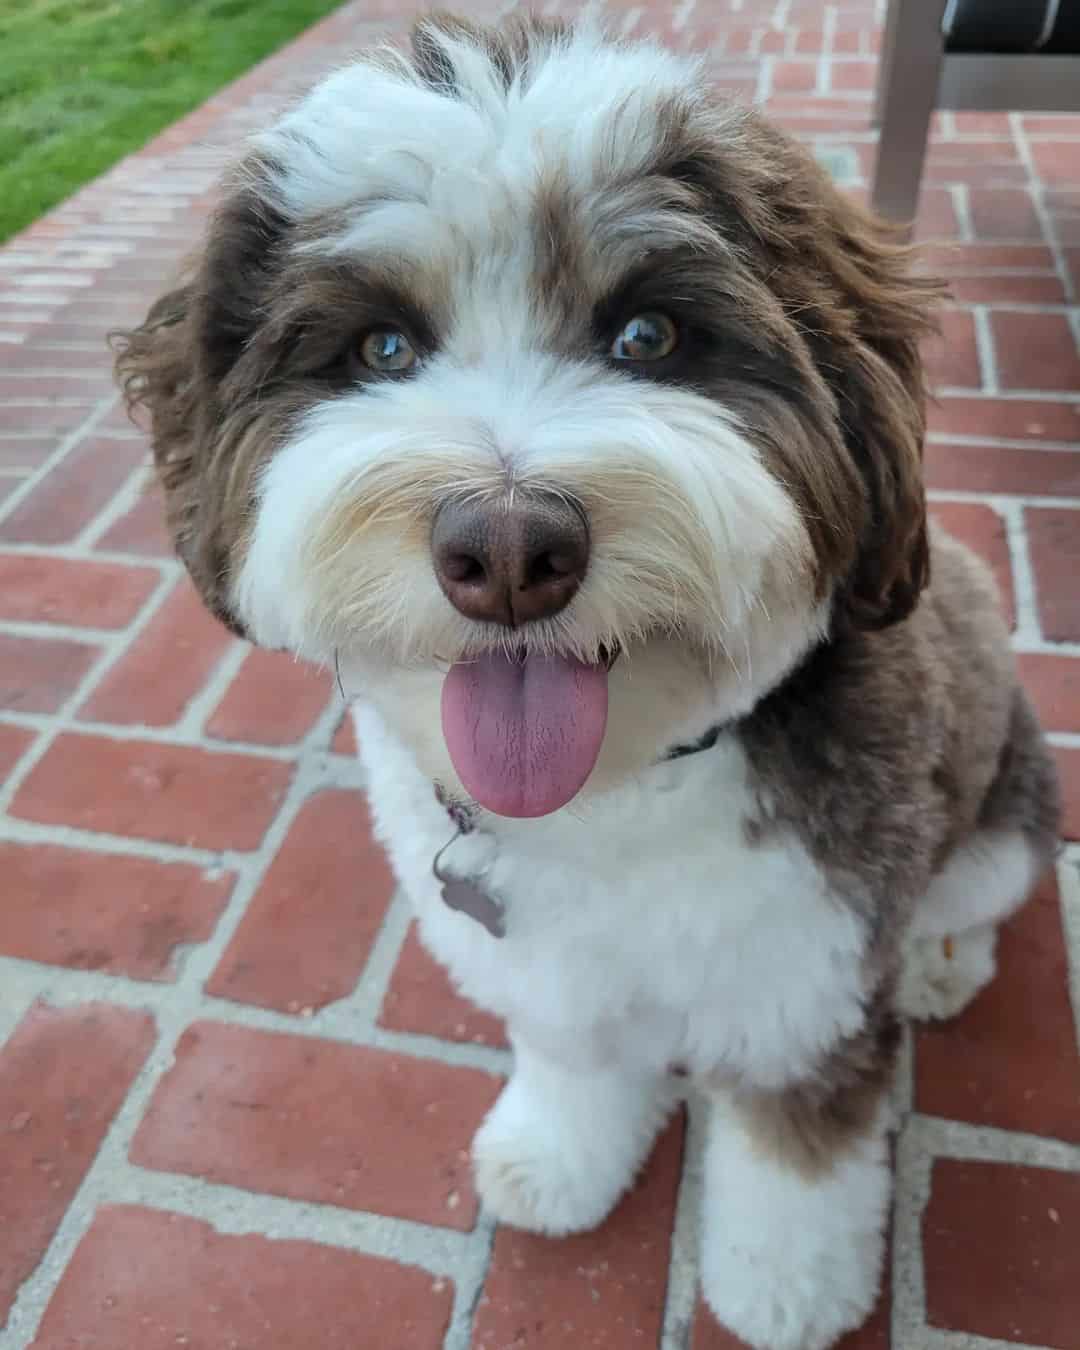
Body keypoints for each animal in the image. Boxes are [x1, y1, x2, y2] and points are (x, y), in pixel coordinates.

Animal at [114, 13, 1058, 1350]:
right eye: (383, 347)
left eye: (648, 337)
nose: (509, 552)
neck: (613, 795)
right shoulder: (553, 971)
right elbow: (575, 1061)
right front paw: (559, 1160)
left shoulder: (803, 983)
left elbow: (798, 1164)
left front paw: (784, 1287)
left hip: (1006, 817)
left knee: (972, 903)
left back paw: (935, 965)